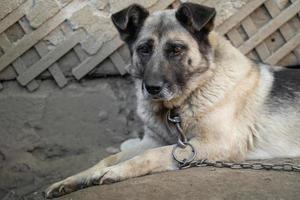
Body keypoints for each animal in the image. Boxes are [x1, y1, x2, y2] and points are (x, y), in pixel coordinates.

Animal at [44, 2, 300, 198]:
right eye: (144, 49)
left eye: (176, 50)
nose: (152, 88)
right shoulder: (153, 140)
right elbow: (109, 158)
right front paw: (74, 179)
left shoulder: (214, 143)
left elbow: (152, 155)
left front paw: (116, 172)